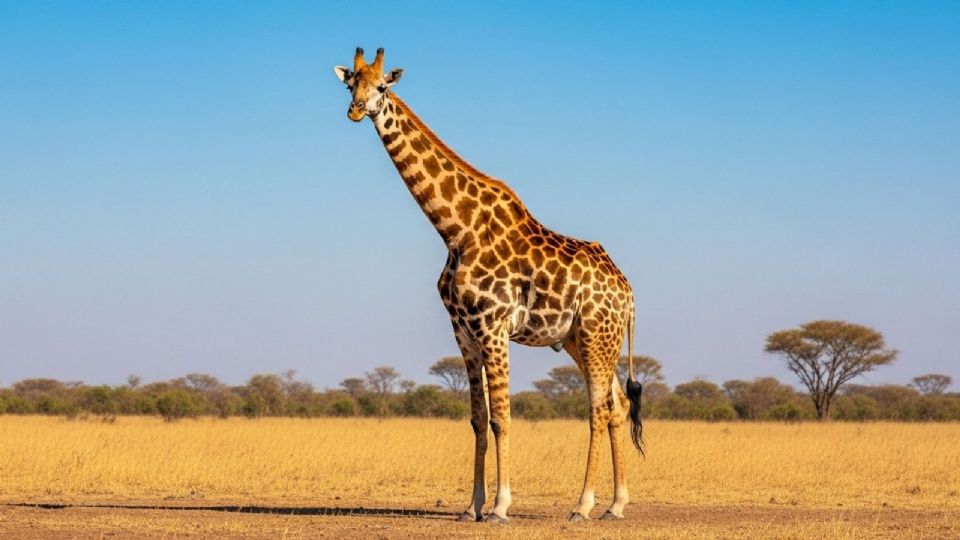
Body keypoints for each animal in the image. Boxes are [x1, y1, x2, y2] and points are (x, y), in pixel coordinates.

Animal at [333, 48, 644, 523]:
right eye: (351, 83)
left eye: (382, 86)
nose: (354, 110)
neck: (455, 230)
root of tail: (628, 293)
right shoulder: (463, 332)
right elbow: (478, 419)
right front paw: (471, 506)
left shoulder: (494, 328)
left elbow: (502, 418)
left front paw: (499, 507)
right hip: (582, 341)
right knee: (618, 406)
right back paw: (616, 504)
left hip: (597, 336)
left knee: (598, 409)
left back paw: (583, 506)